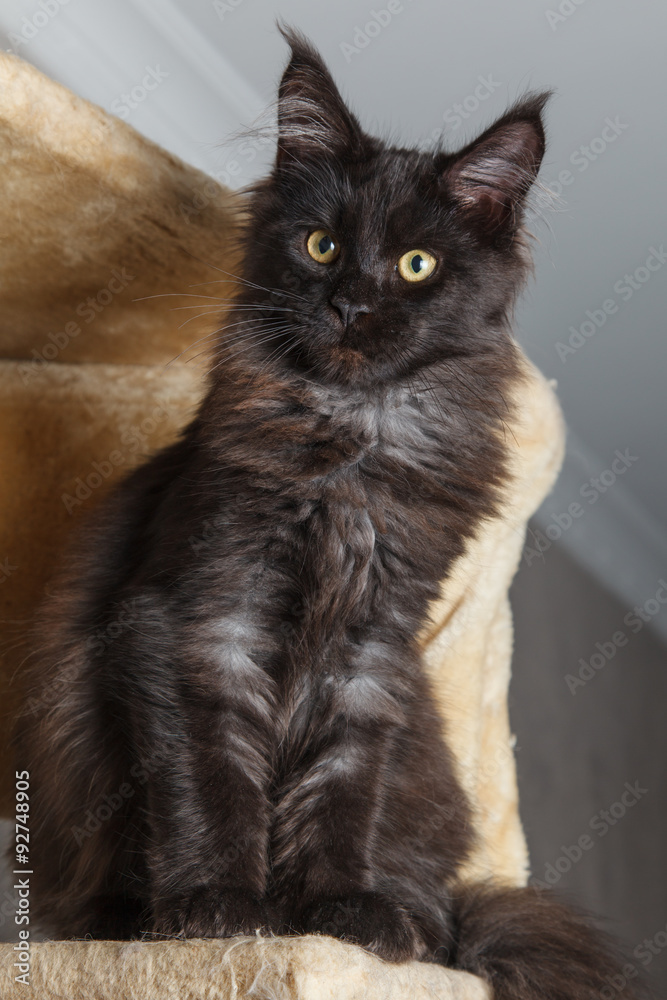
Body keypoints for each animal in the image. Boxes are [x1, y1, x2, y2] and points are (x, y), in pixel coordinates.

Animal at [15, 29, 648, 1000]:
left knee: (442, 910)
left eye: (417, 265)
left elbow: (346, 791)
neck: (352, 450)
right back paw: (130, 927)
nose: (349, 302)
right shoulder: (203, 619)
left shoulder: (372, 651)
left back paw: (415, 932)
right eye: (320, 245)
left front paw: (338, 919)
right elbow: (212, 779)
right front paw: (221, 911)